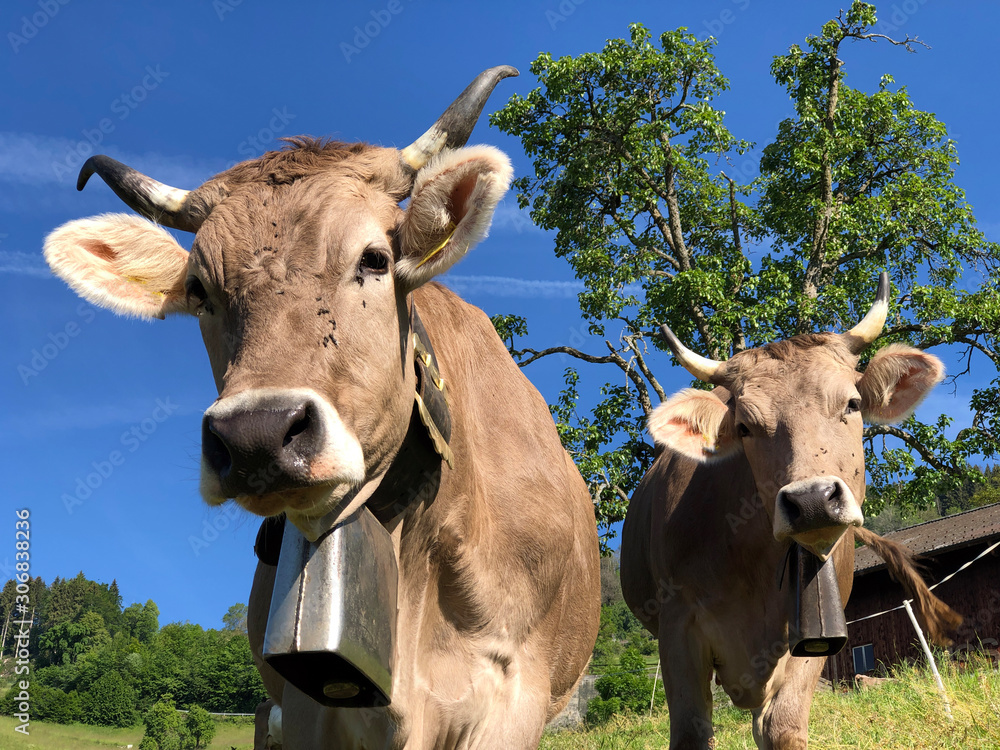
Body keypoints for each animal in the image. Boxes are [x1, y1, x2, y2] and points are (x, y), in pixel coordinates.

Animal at [624, 278, 960, 750]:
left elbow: (781, 726)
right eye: (744, 426)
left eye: (852, 404)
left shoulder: (819, 625)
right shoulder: (677, 628)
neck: (752, 567)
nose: (812, 499)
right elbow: (691, 731)